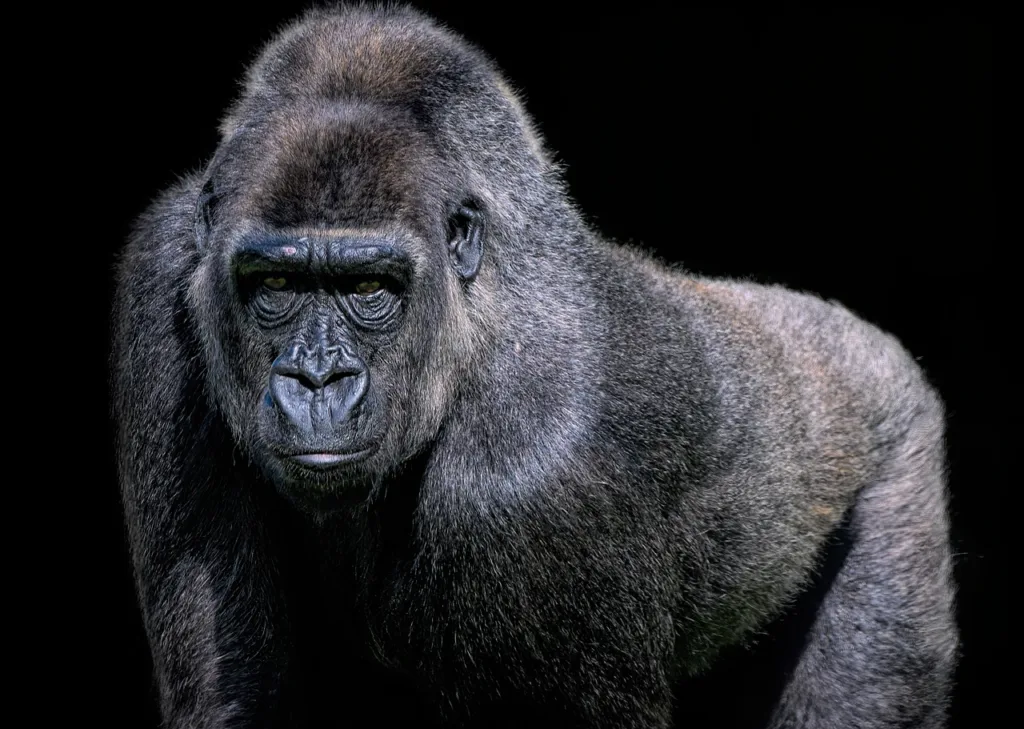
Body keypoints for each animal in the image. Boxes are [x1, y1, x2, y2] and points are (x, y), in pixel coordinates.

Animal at [112, 5, 957, 728]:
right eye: (277, 285)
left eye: (369, 289)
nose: (317, 380)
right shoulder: (160, 274)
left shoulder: (533, 484)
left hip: (899, 457)